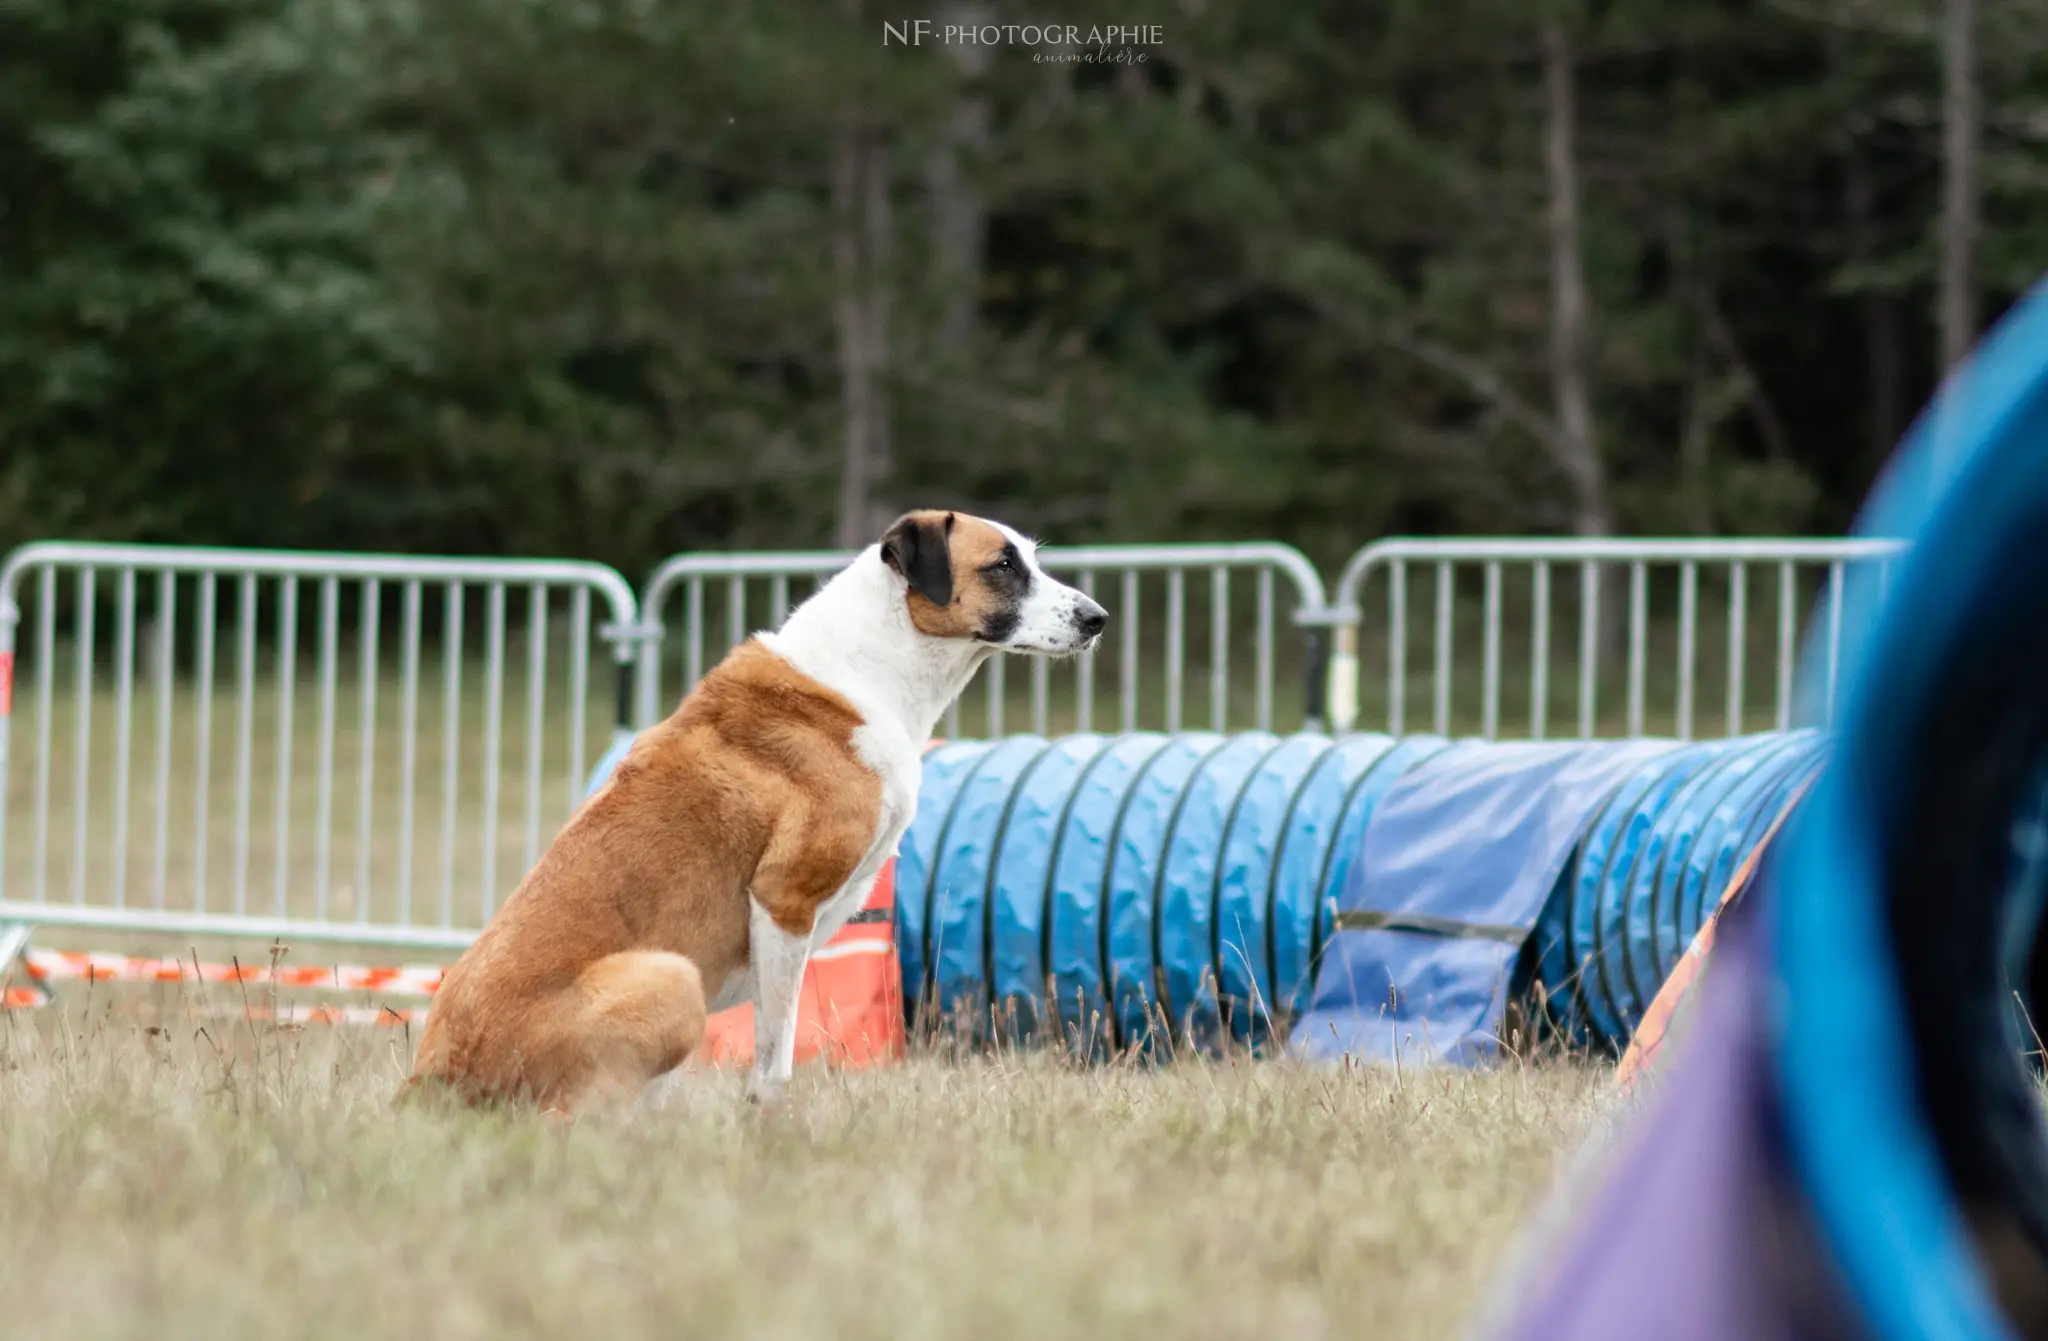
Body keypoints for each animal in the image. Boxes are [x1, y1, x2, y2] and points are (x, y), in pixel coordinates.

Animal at [397, 509, 1105, 1113]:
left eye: (1031, 559)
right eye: (1002, 566)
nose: (1097, 618)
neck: (870, 667)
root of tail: (431, 1077)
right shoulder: (783, 901)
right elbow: (774, 1062)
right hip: (673, 976)